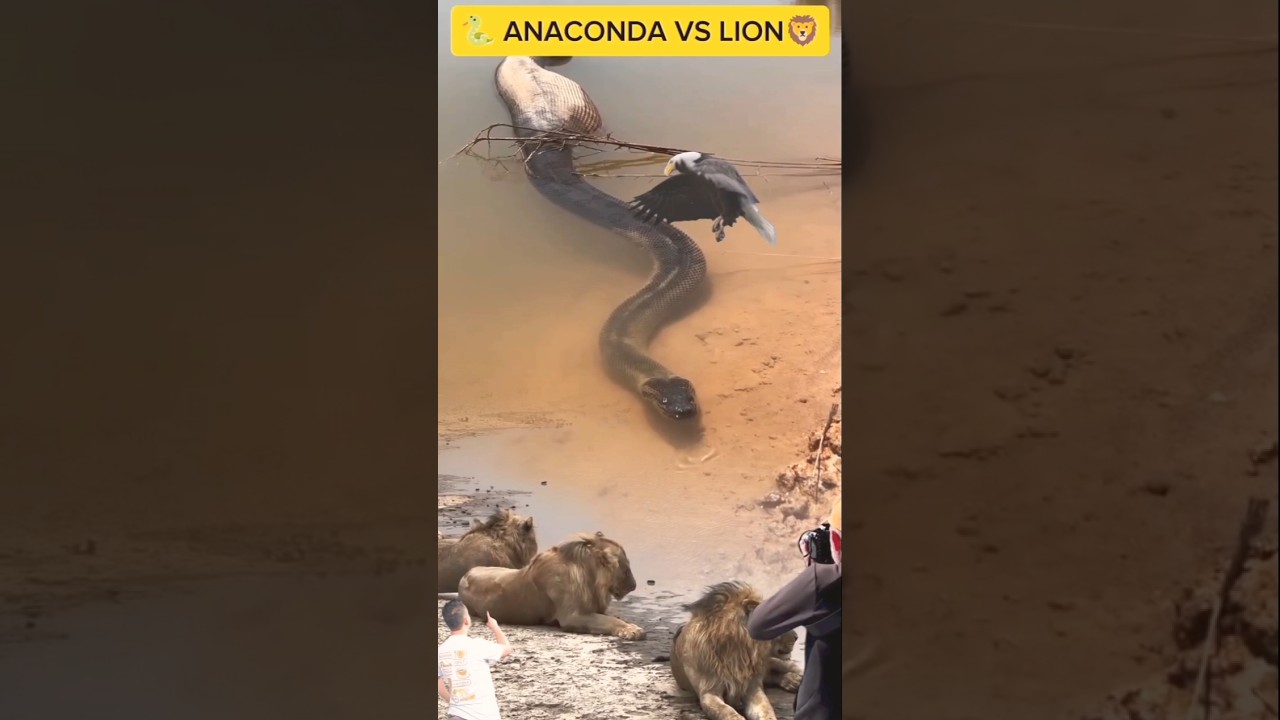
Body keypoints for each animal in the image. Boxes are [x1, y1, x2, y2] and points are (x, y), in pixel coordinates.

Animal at [456, 531, 645, 640]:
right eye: (626, 570)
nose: (634, 586)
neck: (591, 580)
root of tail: (464, 576)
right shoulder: (572, 616)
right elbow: (609, 620)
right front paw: (632, 631)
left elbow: (616, 618)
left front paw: (632, 626)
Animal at [670, 581, 795, 720]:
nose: (796, 637)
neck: (736, 651)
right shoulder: (708, 693)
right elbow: (726, 711)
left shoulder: (752, 688)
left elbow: (766, 709)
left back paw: (796, 679)